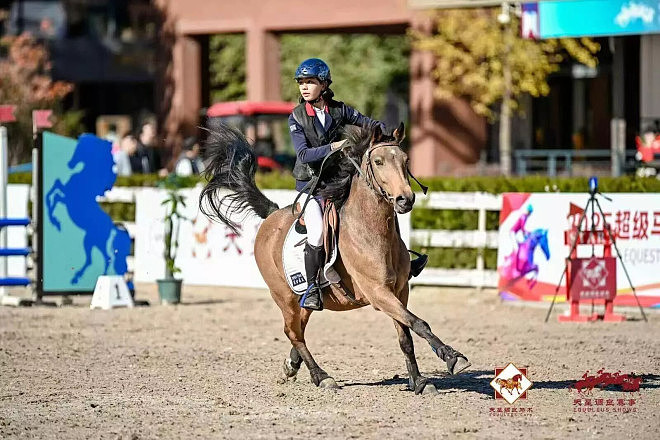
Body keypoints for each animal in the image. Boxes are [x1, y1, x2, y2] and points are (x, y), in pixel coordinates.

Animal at [45, 134, 130, 284]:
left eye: (81, 149)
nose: (70, 164)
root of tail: (111, 227)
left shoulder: (67, 197)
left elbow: (53, 193)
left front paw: (56, 222)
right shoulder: (65, 197)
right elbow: (54, 192)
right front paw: (55, 222)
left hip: (91, 240)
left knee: (100, 259)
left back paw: (87, 278)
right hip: (94, 242)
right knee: (104, 259)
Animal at [199, 122, 470, 394]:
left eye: (406, 160)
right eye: (379, 161)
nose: (406, 199)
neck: (372, 231)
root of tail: (271, 216)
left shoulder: (400, 291)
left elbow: (406, 335)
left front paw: (419, 380)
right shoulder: (378, 293)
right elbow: (419, 323)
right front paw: (452, 358)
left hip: (303, 300)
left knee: (299, 328)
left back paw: (292, 365)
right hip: (283, 296)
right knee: (293, 332)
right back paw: (321, 376)